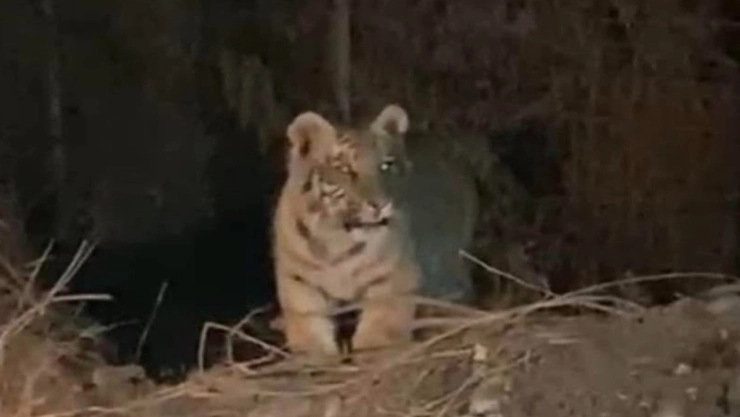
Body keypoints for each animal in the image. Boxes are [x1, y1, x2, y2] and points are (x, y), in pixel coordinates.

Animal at [271, 104, 422, 357]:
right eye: (345, 169)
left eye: (385, 166)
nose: (381, 204)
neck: (339, 240)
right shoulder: (299, 281)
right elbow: (309, 330)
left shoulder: (393, 277)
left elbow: (381, 329)